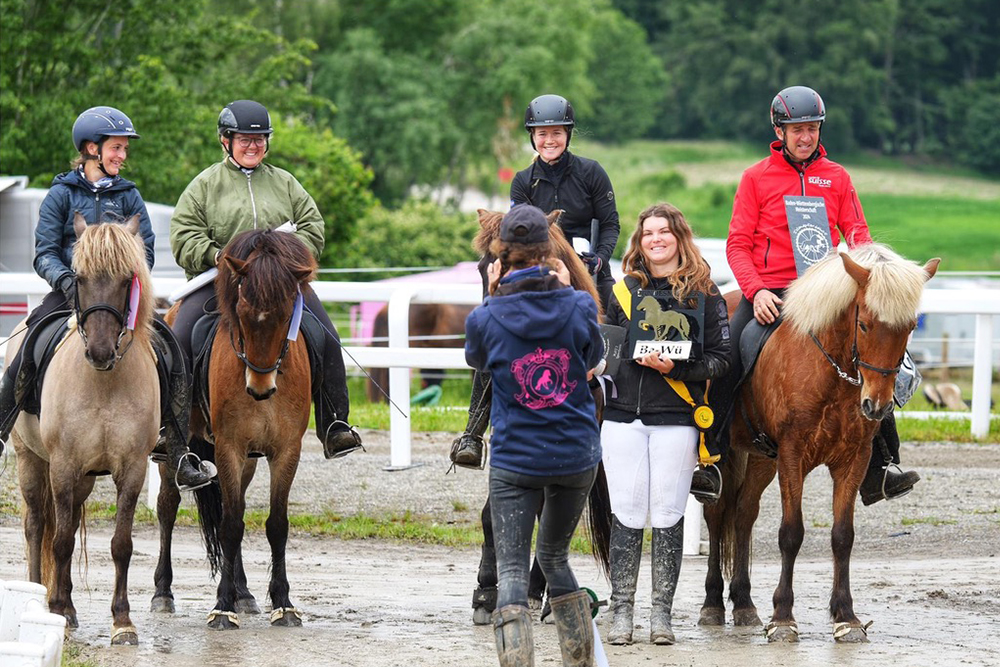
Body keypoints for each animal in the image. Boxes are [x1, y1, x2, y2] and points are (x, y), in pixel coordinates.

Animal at [5, 217, 159, 644]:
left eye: (126, 279)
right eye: (79, 277)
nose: (101, 352)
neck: (104, 383)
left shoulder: (131, 470)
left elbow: (121, 544)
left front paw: (122, 622)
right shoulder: (62, 465)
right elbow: (58, 542)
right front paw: (56, 609)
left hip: (85, 478)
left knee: (69, 522)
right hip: (32, 461)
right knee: (37, 526)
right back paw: (42, 596)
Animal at [153, 230, 312, 632]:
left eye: (287, 314)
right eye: (240, 314)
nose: (259, 387)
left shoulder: (285, 451)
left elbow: (275, 524)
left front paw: (283, 604)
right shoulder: (228, 448)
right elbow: (229, 526)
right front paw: (222, 608)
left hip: (248, 461)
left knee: (231, 505)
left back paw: (244, 593)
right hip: (175, 455)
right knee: (167, 508)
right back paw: (163, 592)